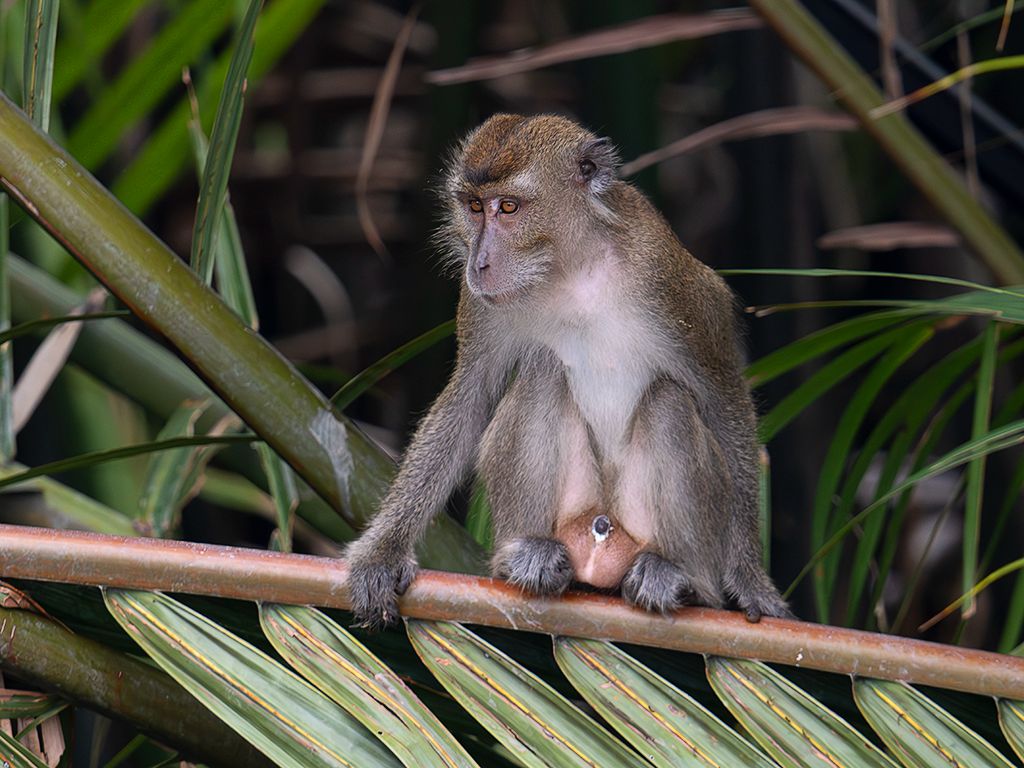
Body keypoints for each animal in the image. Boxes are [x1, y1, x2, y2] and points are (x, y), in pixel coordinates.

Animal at [345, 113, 791, 630]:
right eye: (474, 207)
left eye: (509, 208)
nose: (479, 261)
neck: (571, 266)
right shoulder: (480, 304)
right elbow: (468, 399)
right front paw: (381, 553)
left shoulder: (672, 284)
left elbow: (723, 396)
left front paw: (750, 580)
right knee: (544, 373)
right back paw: (525, 556)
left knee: (670, 402)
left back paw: (682, 578)